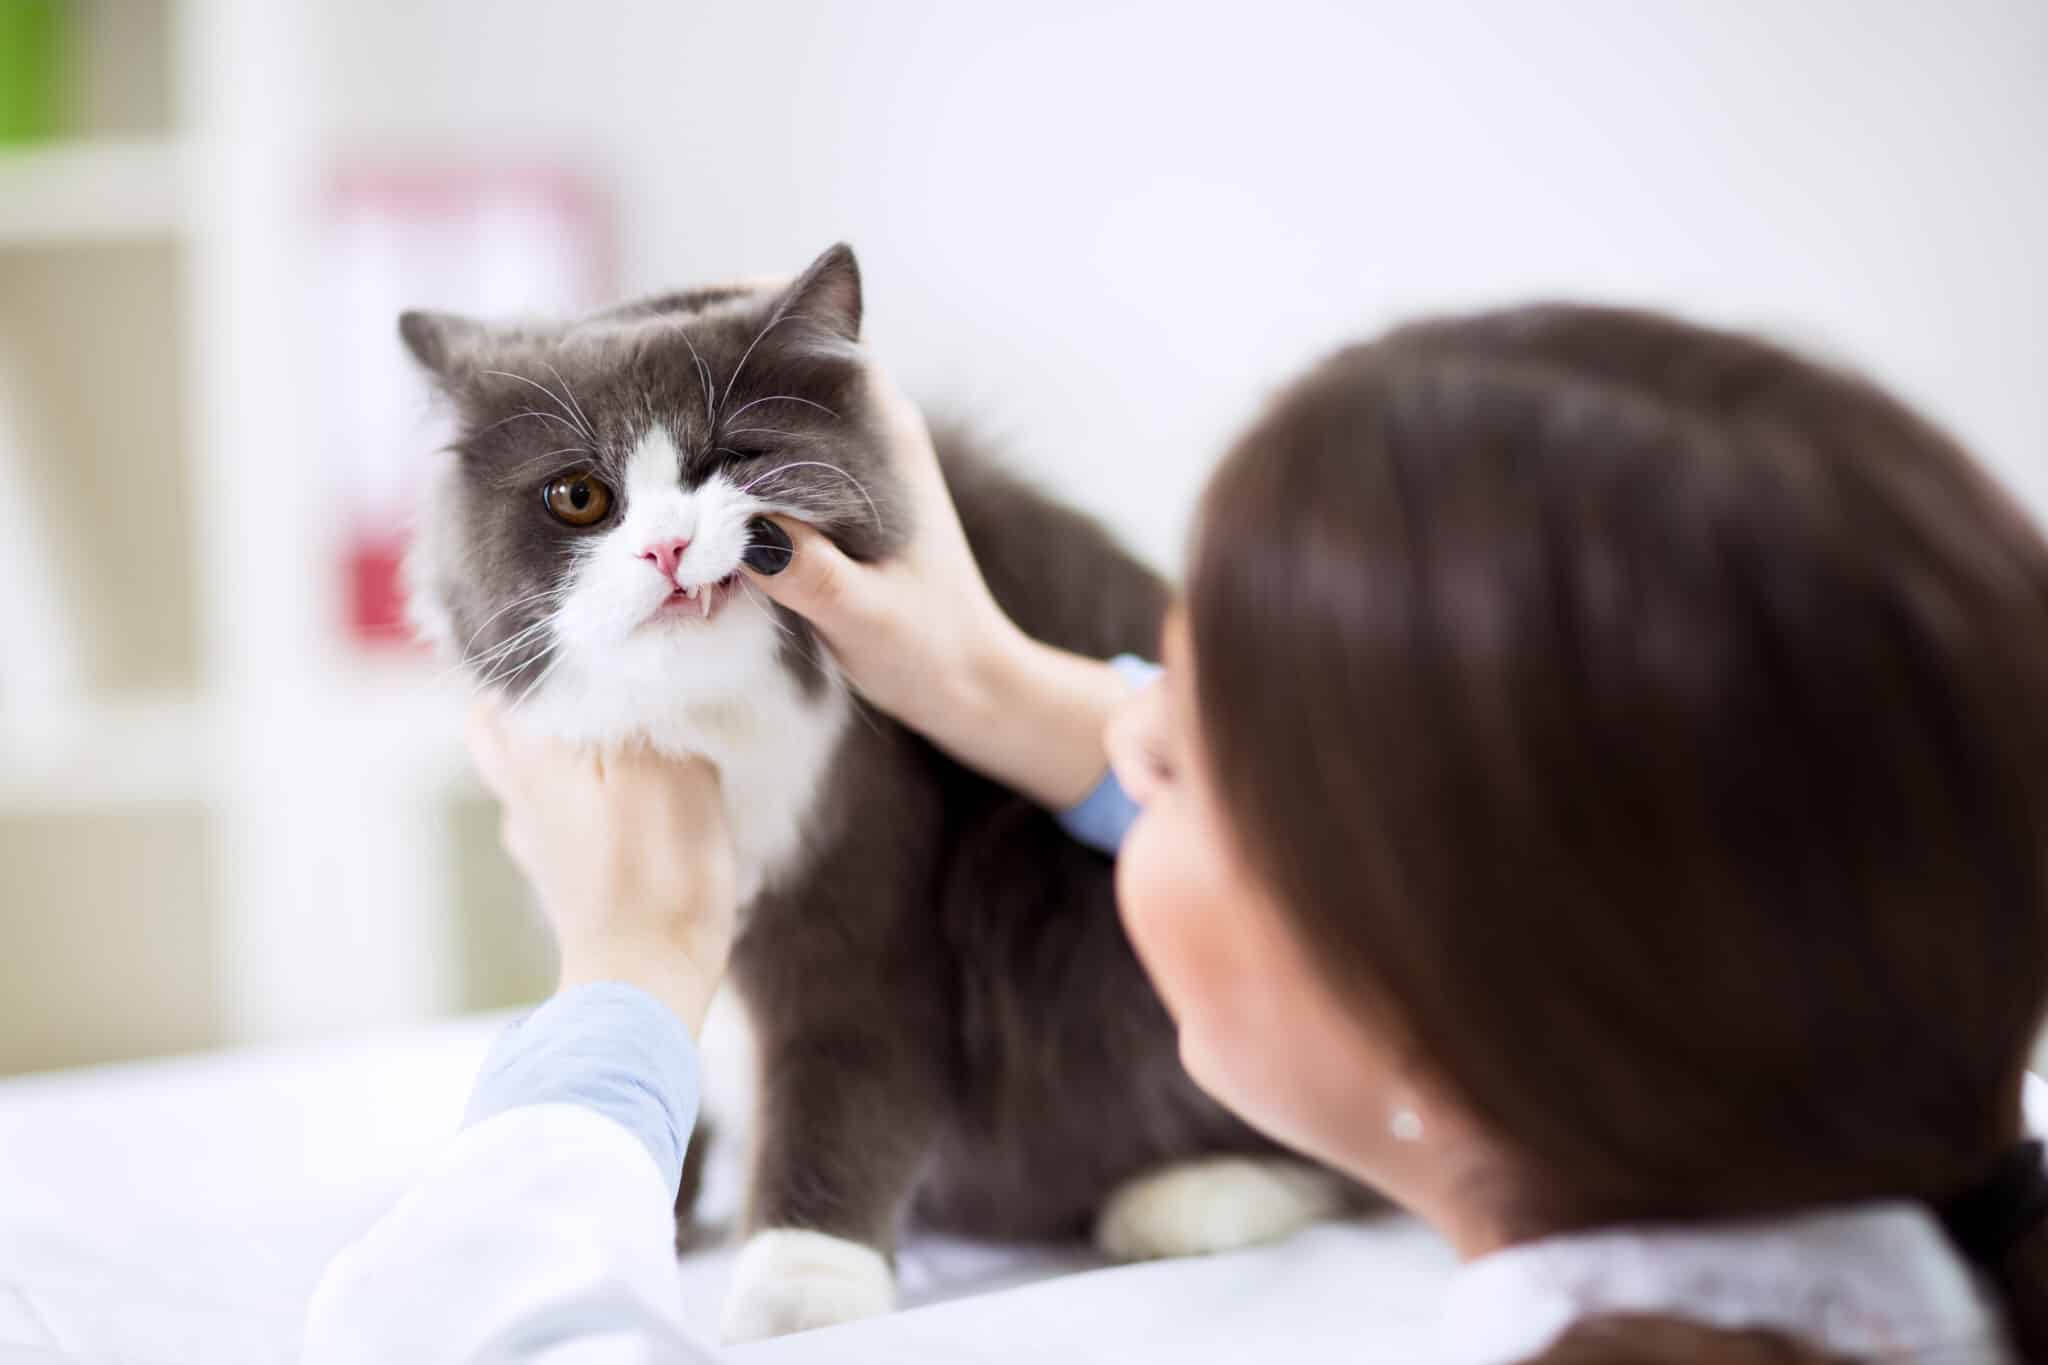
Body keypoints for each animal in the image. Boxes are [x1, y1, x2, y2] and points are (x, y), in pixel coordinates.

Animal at [399, 240, 1359, 1342]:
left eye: (735, 460)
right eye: (579, 498)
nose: (667, 548)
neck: (708, 728)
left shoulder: (858, 878)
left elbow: (842, 1073)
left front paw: (803, 1284)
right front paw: (660, 1214)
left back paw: (1193, 1197)